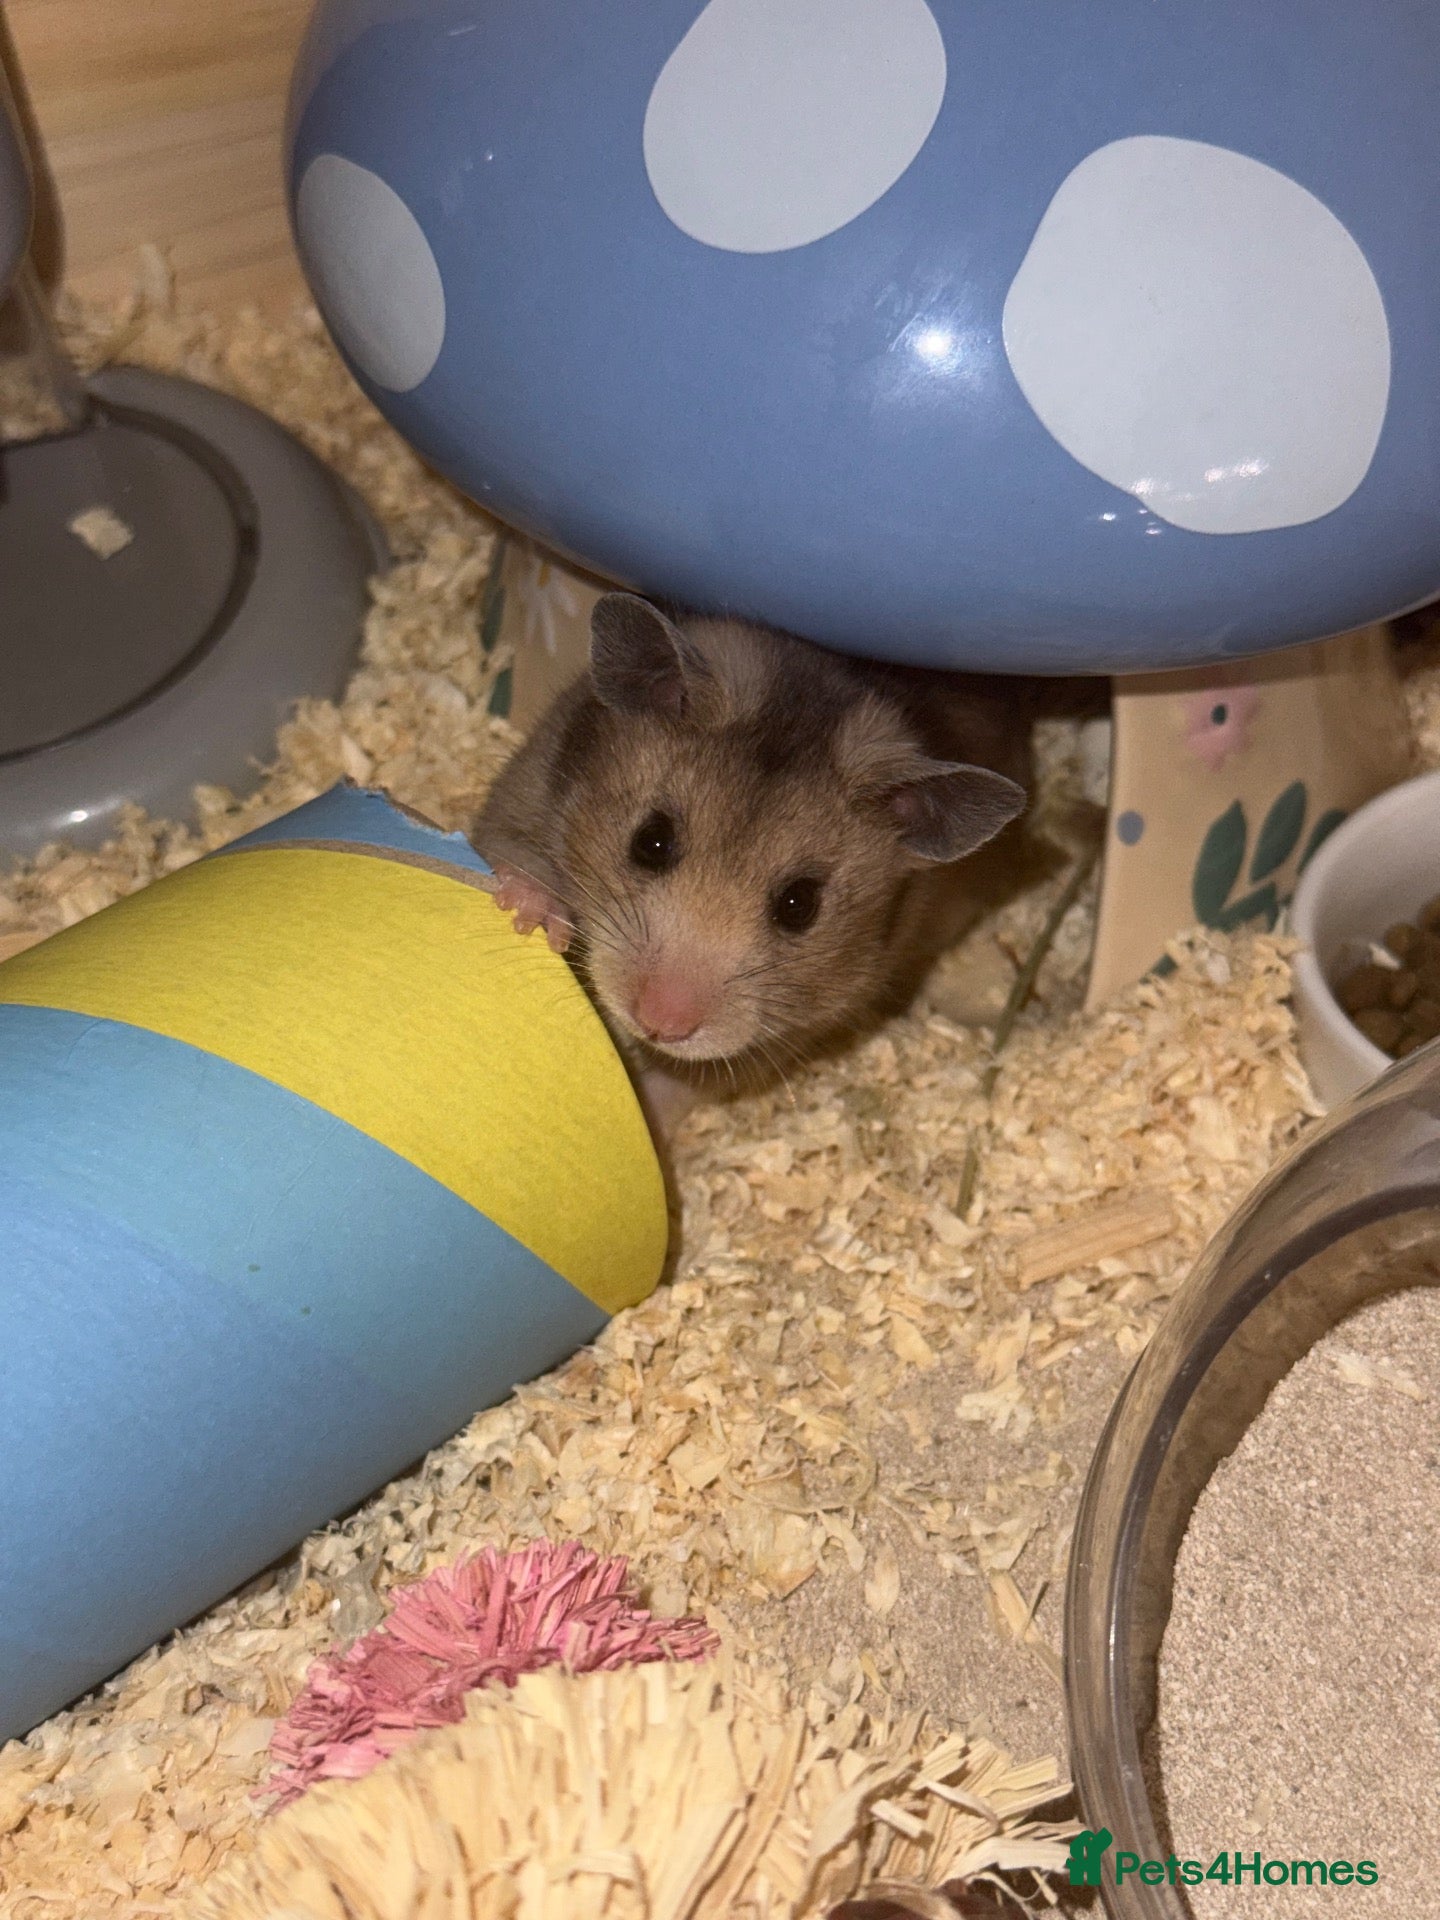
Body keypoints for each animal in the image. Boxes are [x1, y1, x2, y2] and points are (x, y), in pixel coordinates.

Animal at [474, 593, 1031, 1104]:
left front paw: (641, 1105)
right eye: (650, 842)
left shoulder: (799, 1025)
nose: (659, 1025)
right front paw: (535, 916)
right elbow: (508, 850)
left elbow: (691, 1080)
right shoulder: (532, 776)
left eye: (799, 905)